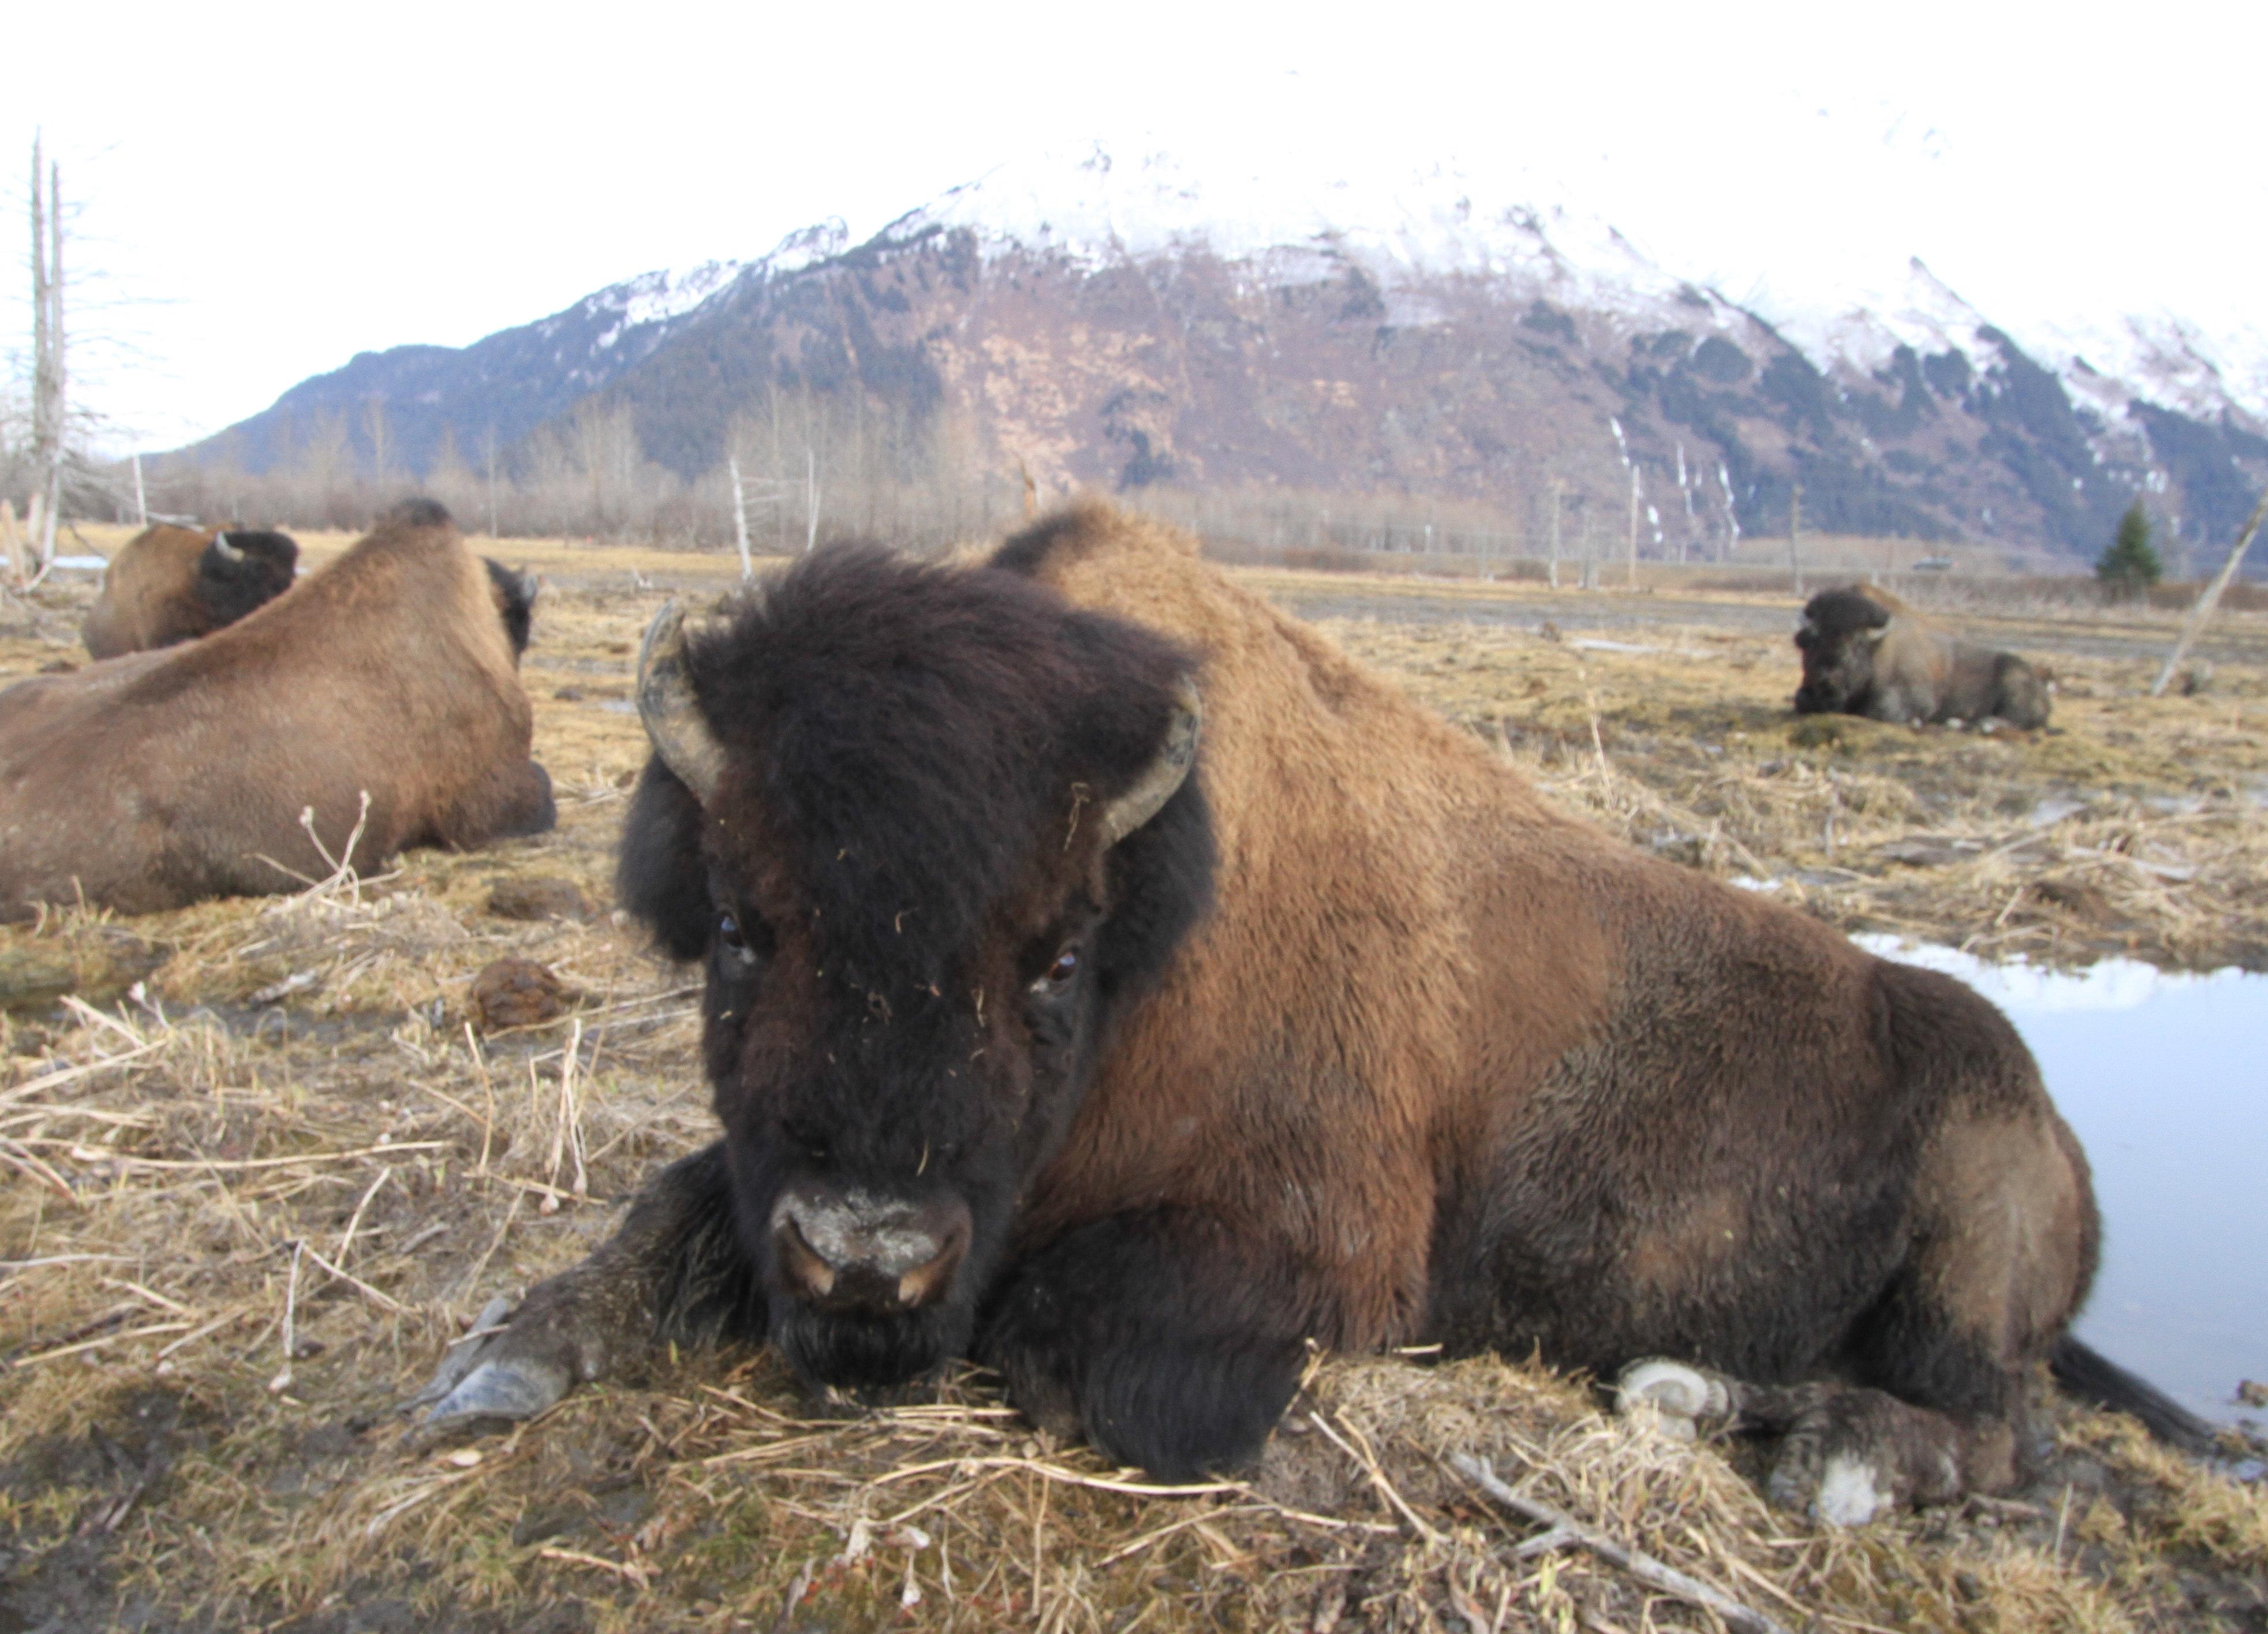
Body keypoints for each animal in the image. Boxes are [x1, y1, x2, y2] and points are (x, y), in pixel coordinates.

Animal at [1794, 584, 2050, 729]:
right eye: (1812, 639)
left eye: (1857, 643)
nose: (1827, 679)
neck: (1877, 648)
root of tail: (2041, 687)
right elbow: (1800, 699)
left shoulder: (1917, 697)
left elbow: (1881, 709)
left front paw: (1914, 721)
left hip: (2013, 685)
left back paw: (1979, 724)